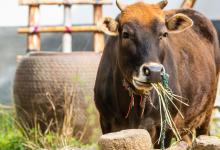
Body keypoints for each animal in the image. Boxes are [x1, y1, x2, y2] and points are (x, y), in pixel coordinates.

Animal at [93, 0, 220, 148]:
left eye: (164, 34)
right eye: (126, 34)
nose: (153, 71)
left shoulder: (166, 127)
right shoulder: (106, 122)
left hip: (207, 112)